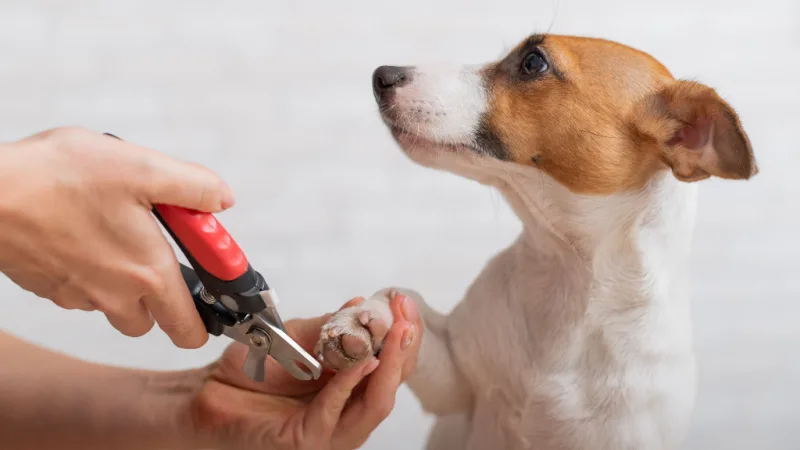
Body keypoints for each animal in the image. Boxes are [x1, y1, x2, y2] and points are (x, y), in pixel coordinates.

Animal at [312, 32, 756, 450]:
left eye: (533, 62)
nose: (382, 75)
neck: (566, 273)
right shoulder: (455, 383)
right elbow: (405, 302)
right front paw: (365, 319)